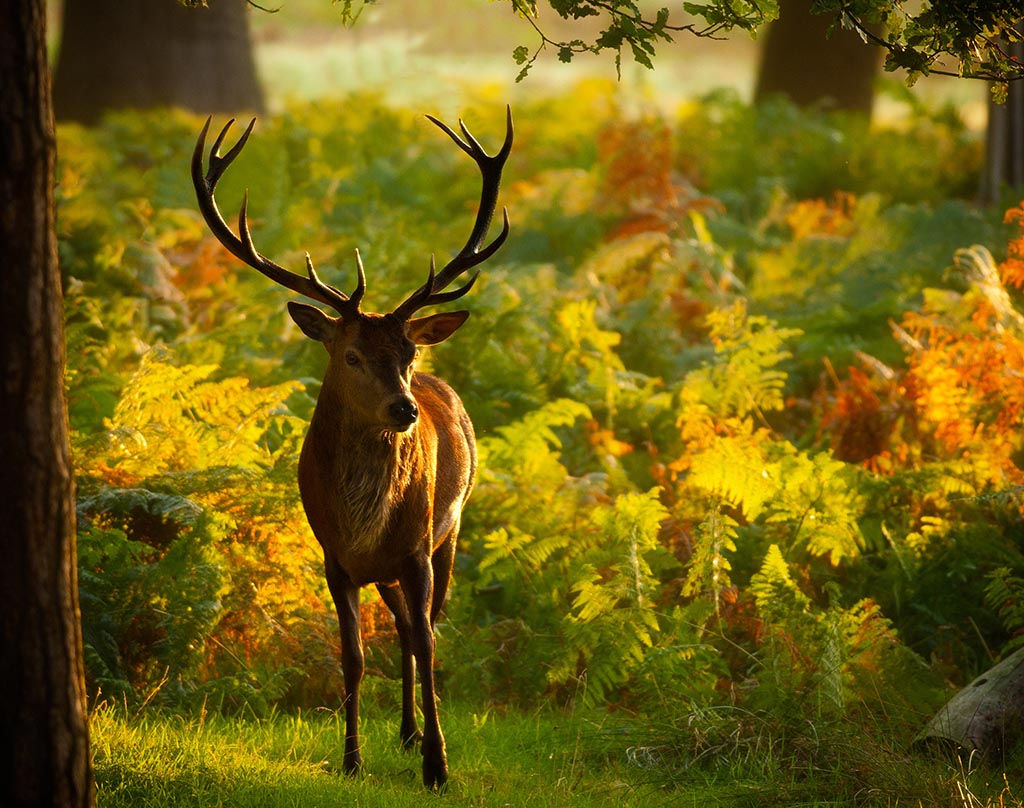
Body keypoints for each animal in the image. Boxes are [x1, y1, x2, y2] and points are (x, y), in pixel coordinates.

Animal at [191, 108, 512, 789]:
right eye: (351, 355)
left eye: (408, 352)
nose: (405, 409)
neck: (363, 523)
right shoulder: (333, 558)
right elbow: (353, 656)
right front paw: (351, 759)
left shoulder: (416, 547)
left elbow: (426, 641)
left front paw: (439, 766)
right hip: (387, 568)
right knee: (400, 628)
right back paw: (406, 731)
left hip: (450, 531)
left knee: (424, 630)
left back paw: (419, 736)